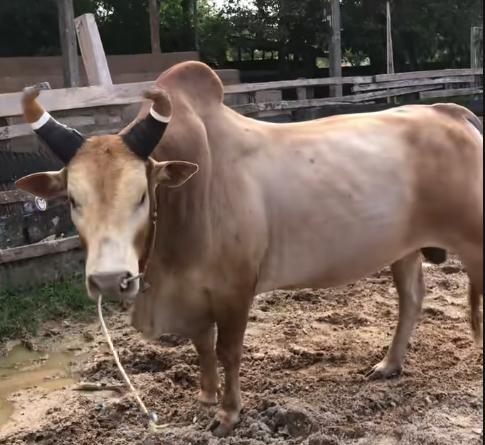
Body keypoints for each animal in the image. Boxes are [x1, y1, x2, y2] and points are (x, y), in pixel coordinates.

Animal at [15, 61, 483, 437]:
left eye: (142, 196)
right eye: (73, 199)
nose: (111, 280)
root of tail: (450, 111)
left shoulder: (235, 289)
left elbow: (227, 350)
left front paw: (227, 415)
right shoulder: (193, 293)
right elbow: (201, 345)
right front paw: (205, 398)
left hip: (473, 242)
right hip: (403, 248)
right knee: (411, 299)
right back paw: (389, 365)